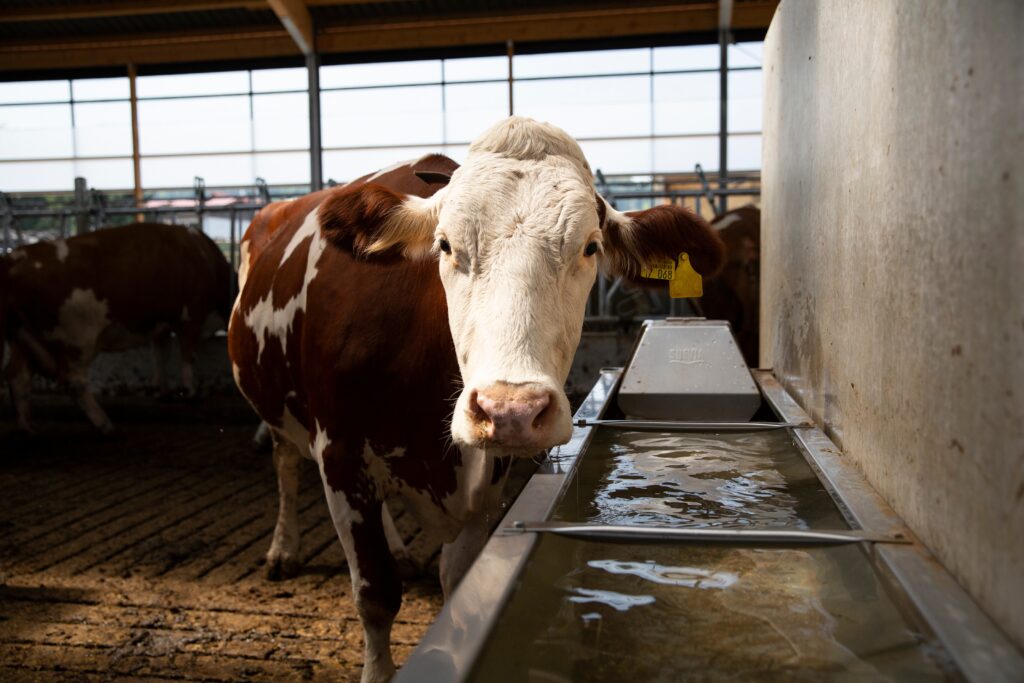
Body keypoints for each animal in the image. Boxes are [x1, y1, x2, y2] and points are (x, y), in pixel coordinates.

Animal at [1, 223, 231, 434]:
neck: (203, 256)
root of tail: (15, 258)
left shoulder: (161, 324)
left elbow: (160, 354)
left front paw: (162, 391)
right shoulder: (191, 315)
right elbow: (187, 355)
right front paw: (191, 392)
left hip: (22, 338)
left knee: (17, 376)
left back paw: (28, 427)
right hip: (76, 340)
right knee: (73, 382)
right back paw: (105, 425)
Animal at [228, 117, 725, 682]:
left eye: (590, 247)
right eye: (445, 245)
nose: (511, 409)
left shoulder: (488, 477)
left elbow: (457, 580)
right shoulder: (341, 456)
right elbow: (375, 595)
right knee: (285, 462)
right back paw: (283, 548)